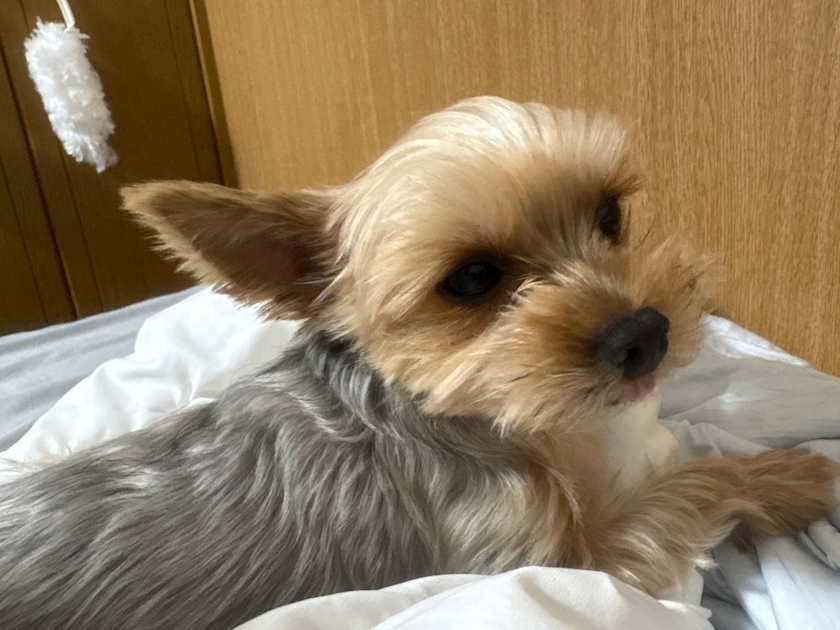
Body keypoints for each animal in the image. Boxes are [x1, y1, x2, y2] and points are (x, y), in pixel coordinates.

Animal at [0, 97, 837, 630]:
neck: (478, 417)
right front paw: (791, 477)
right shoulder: (547, 563)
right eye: (470, 279)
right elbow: (686, 486)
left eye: (610, 214)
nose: (647, 333)